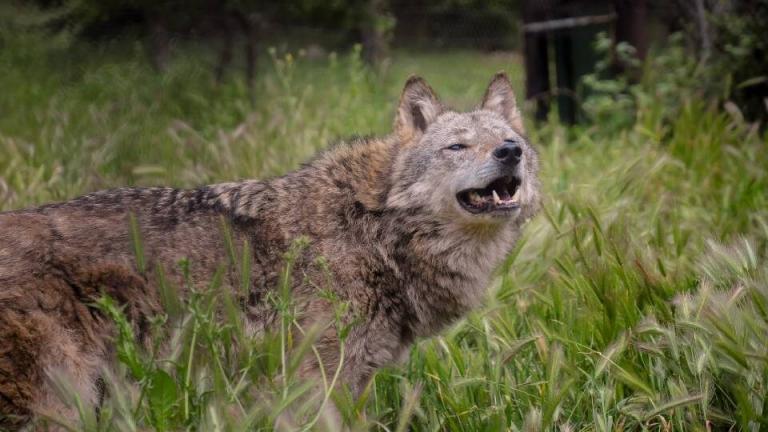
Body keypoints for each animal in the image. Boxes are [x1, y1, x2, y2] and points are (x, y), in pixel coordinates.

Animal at [0, 71, 540, 428]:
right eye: (457, 147)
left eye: (507, 139)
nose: (510, 151)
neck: (375, 227)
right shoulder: (314, 379)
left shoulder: (349, 380)